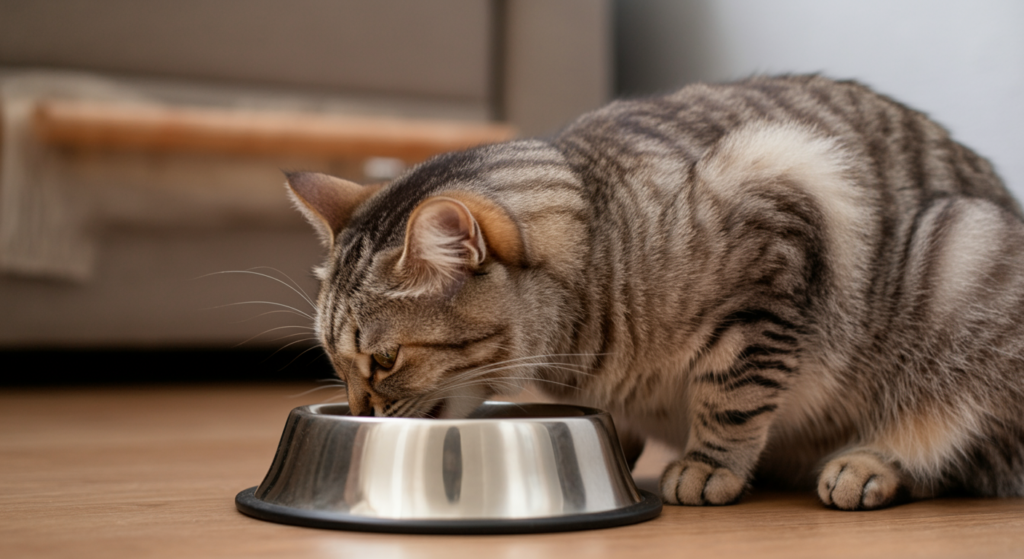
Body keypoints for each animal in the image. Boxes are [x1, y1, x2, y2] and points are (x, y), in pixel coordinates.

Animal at [282, 75, 1024, 509]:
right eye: (335, 361)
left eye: (384, 360)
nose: (361, 414)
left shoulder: (777, 233)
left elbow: (734, 395)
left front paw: (706, 465)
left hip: (961, 255)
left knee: (959, 450)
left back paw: (869, 464)